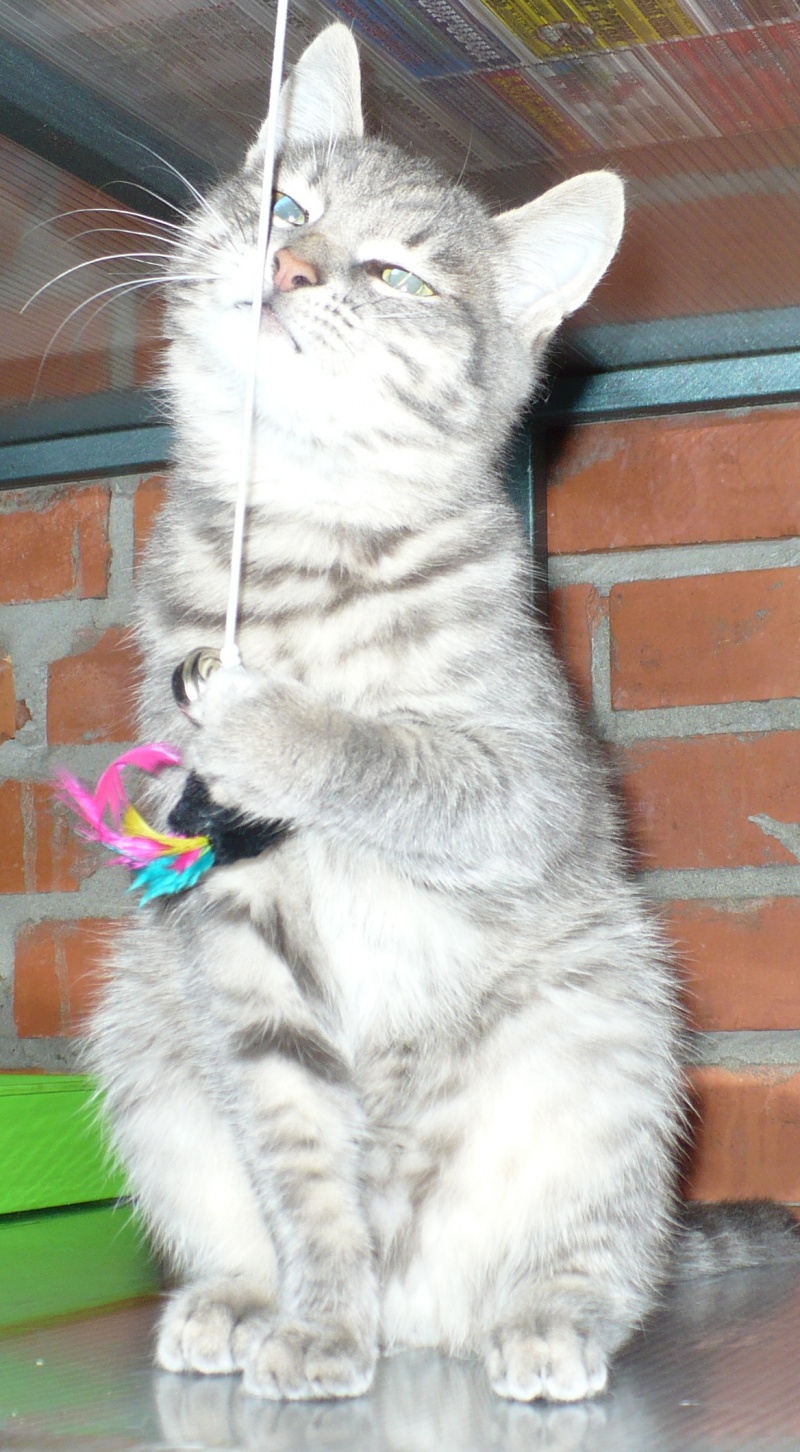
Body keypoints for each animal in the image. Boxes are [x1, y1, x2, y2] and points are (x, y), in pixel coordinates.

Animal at [88, 23, 798, 1404]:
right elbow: (298, 1160)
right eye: (287, 205)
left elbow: (398, 755)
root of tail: (422, 1317)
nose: (293, 264)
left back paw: (549, 1319)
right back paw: (243, 1302)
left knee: (602, 1252)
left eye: (397, 275)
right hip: (144, 1024)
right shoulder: (236, 955)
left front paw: (276, 724)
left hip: (607, 1021)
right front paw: (317, 1318)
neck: (303, 548)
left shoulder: (529, 782)